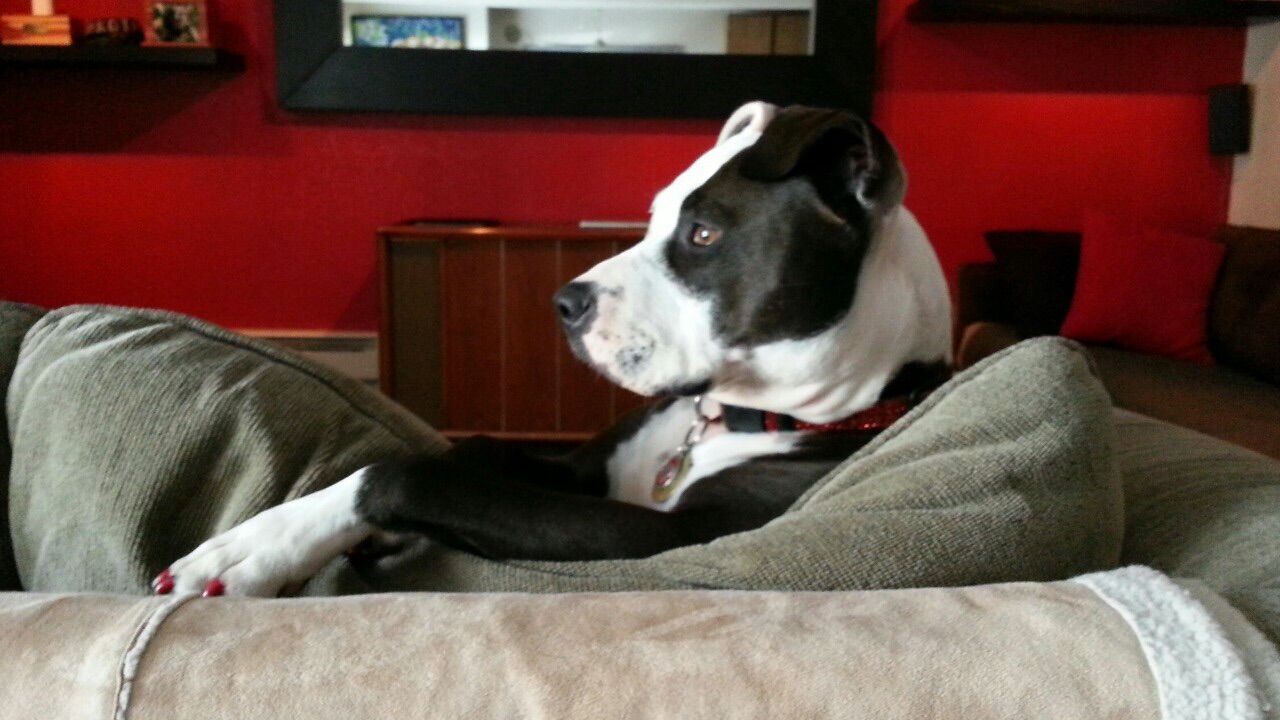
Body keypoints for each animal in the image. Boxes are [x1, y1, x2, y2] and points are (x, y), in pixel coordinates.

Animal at [154, 101, 952, 594]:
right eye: (654, 218)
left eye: (703, 234)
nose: (564, 304)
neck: (727, 420)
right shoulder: (576, 473)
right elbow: (471, 452)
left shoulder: (667, 541)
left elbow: (406, 475)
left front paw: (256, 547)